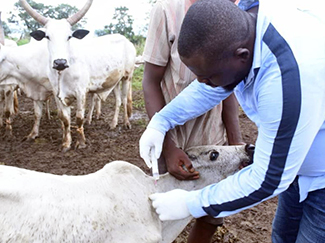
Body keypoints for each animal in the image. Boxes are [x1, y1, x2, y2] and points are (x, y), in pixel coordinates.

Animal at [19, 0, 137, 152]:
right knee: (118, 101)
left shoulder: (81, 93)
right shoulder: (57, 94)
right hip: (114, 80)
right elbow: (65, 119)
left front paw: (81, 143)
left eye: (69, 37)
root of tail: (126, 40)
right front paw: (66, 143)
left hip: (127, 77)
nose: (60, 62)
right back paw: (113, 123)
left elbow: (79, 118)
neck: (64, 73)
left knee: (124, 99)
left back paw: (126, 123)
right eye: (47, 37)